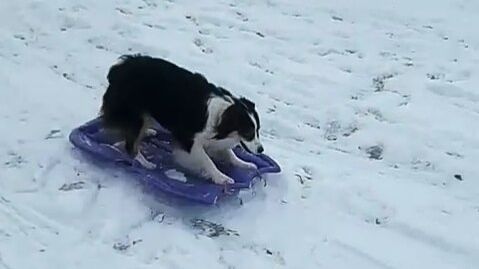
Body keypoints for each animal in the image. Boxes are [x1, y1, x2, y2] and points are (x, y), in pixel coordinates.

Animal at [101, 54, 264, 184]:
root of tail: (119, 68)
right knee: (130, 145)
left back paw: (147, 133)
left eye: (258, 130)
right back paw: (145, 163)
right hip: (136, 114)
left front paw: (243, 163)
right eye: (248, 132)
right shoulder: (188, 139)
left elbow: (230, 153)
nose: (261, 150)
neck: (222, 115)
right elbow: (207, 160)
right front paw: (220, 177)